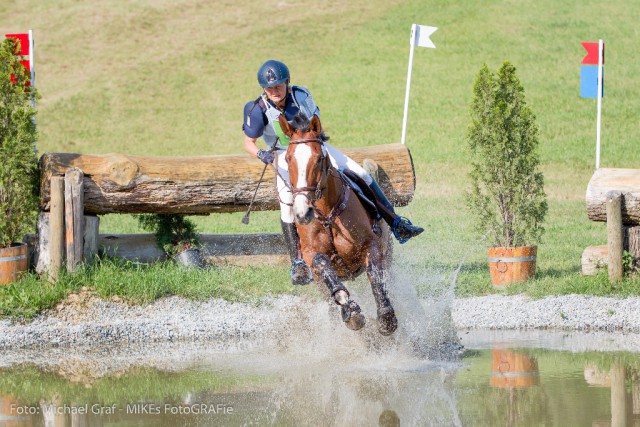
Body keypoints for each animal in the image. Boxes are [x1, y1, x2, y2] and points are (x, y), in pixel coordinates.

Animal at [282, 113, 400, 338]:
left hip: (388, 253)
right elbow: (323, 265)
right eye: (287, 159)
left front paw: (386, 317)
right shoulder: (310, 254)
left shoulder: (370, 244)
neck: (327, 214)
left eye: (319, 159)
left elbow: (374, 274)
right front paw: (351, 312)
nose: (302, 213)